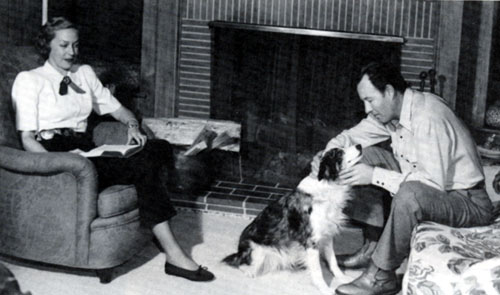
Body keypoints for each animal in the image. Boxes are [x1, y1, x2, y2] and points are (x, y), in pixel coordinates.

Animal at [225, 145, 362, 294]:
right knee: (240, 264)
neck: (327, 187)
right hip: (257, 250)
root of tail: (239, 250)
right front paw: (325, 289)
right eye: (339, 152)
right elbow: (317, 271)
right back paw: (249, 271)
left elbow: (333, 261)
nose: (359, 146)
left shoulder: (327, 236)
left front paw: (342, 278)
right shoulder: (311, 241)